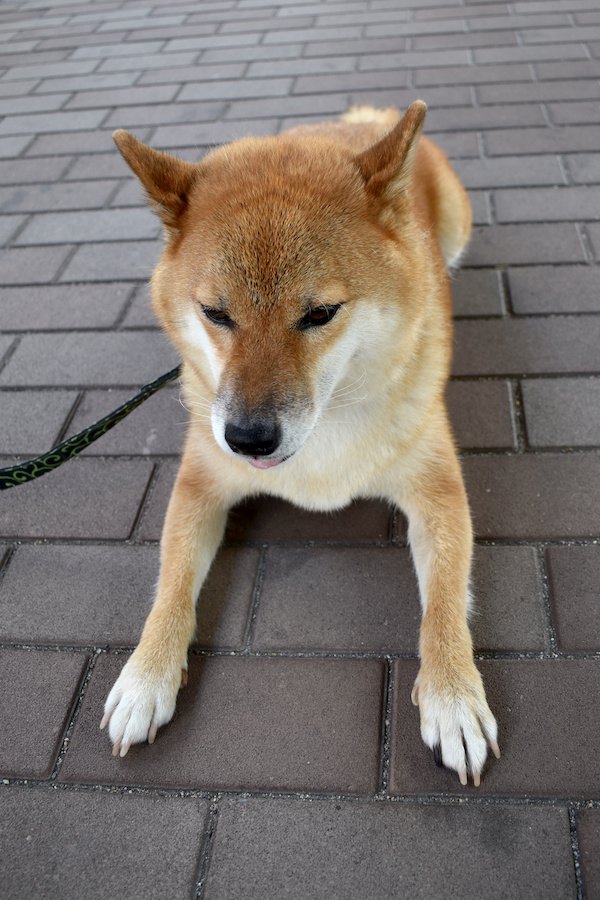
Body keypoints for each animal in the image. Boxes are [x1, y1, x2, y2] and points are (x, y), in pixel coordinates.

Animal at [103, 102, 502, 784]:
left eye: (320, 314)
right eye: (215, 313)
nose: (246, 438)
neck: (323, 437)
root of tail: (369, 116)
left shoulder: (438, 490)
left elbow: (446, 602)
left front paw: (453, 697)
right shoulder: (200, 482)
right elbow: (171, 584)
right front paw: (144, 677)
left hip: (456, 218)